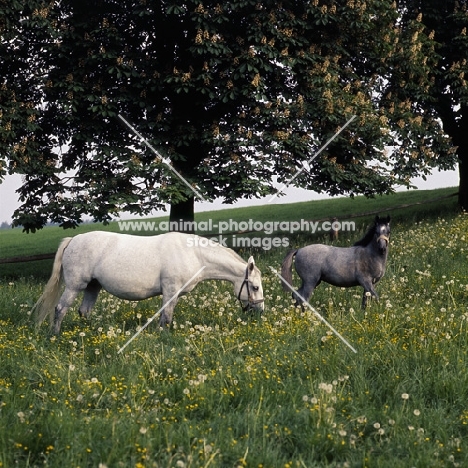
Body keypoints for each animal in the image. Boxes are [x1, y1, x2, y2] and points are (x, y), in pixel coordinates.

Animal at [33, 230, 264, 332]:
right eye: (255, 287)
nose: (259, 311)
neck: (194, 254)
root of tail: (73, 239)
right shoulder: (170, 292)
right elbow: (166, 318)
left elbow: (164, 317)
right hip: (75, 286)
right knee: (60, 309)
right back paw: (55, 334)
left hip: (93, 287)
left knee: (84, 311)